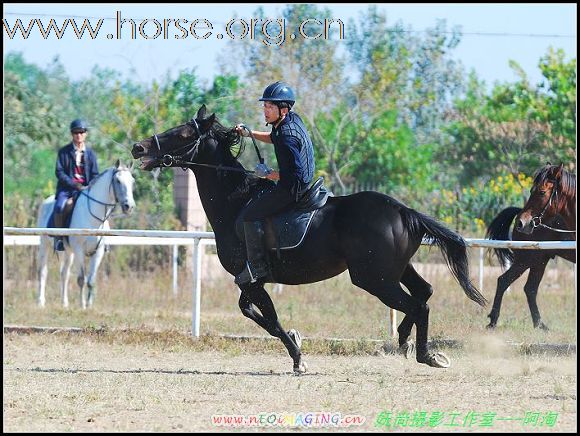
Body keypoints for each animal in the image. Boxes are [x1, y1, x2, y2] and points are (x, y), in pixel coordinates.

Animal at [37, 161, 136, 310]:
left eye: (132, 181)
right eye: (118, 181)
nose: (129, 206)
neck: (94, 219)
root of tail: (46, 202)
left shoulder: (98, 252)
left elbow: (91, 280)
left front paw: (89, 305)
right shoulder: (79, 250)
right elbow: (81, 279)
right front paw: (82, 305)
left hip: (69, 252)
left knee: (64, 273)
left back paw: (64, 303)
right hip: (45, 245)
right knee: (43, 272)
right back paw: (41, 302)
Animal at [484, 164, 576, 330]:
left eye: (542, 192)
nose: (522, 222)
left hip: (539, 261)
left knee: (530, 289)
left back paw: (540, 325)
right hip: (527, 260)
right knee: (504, 281)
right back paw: (493, 321)